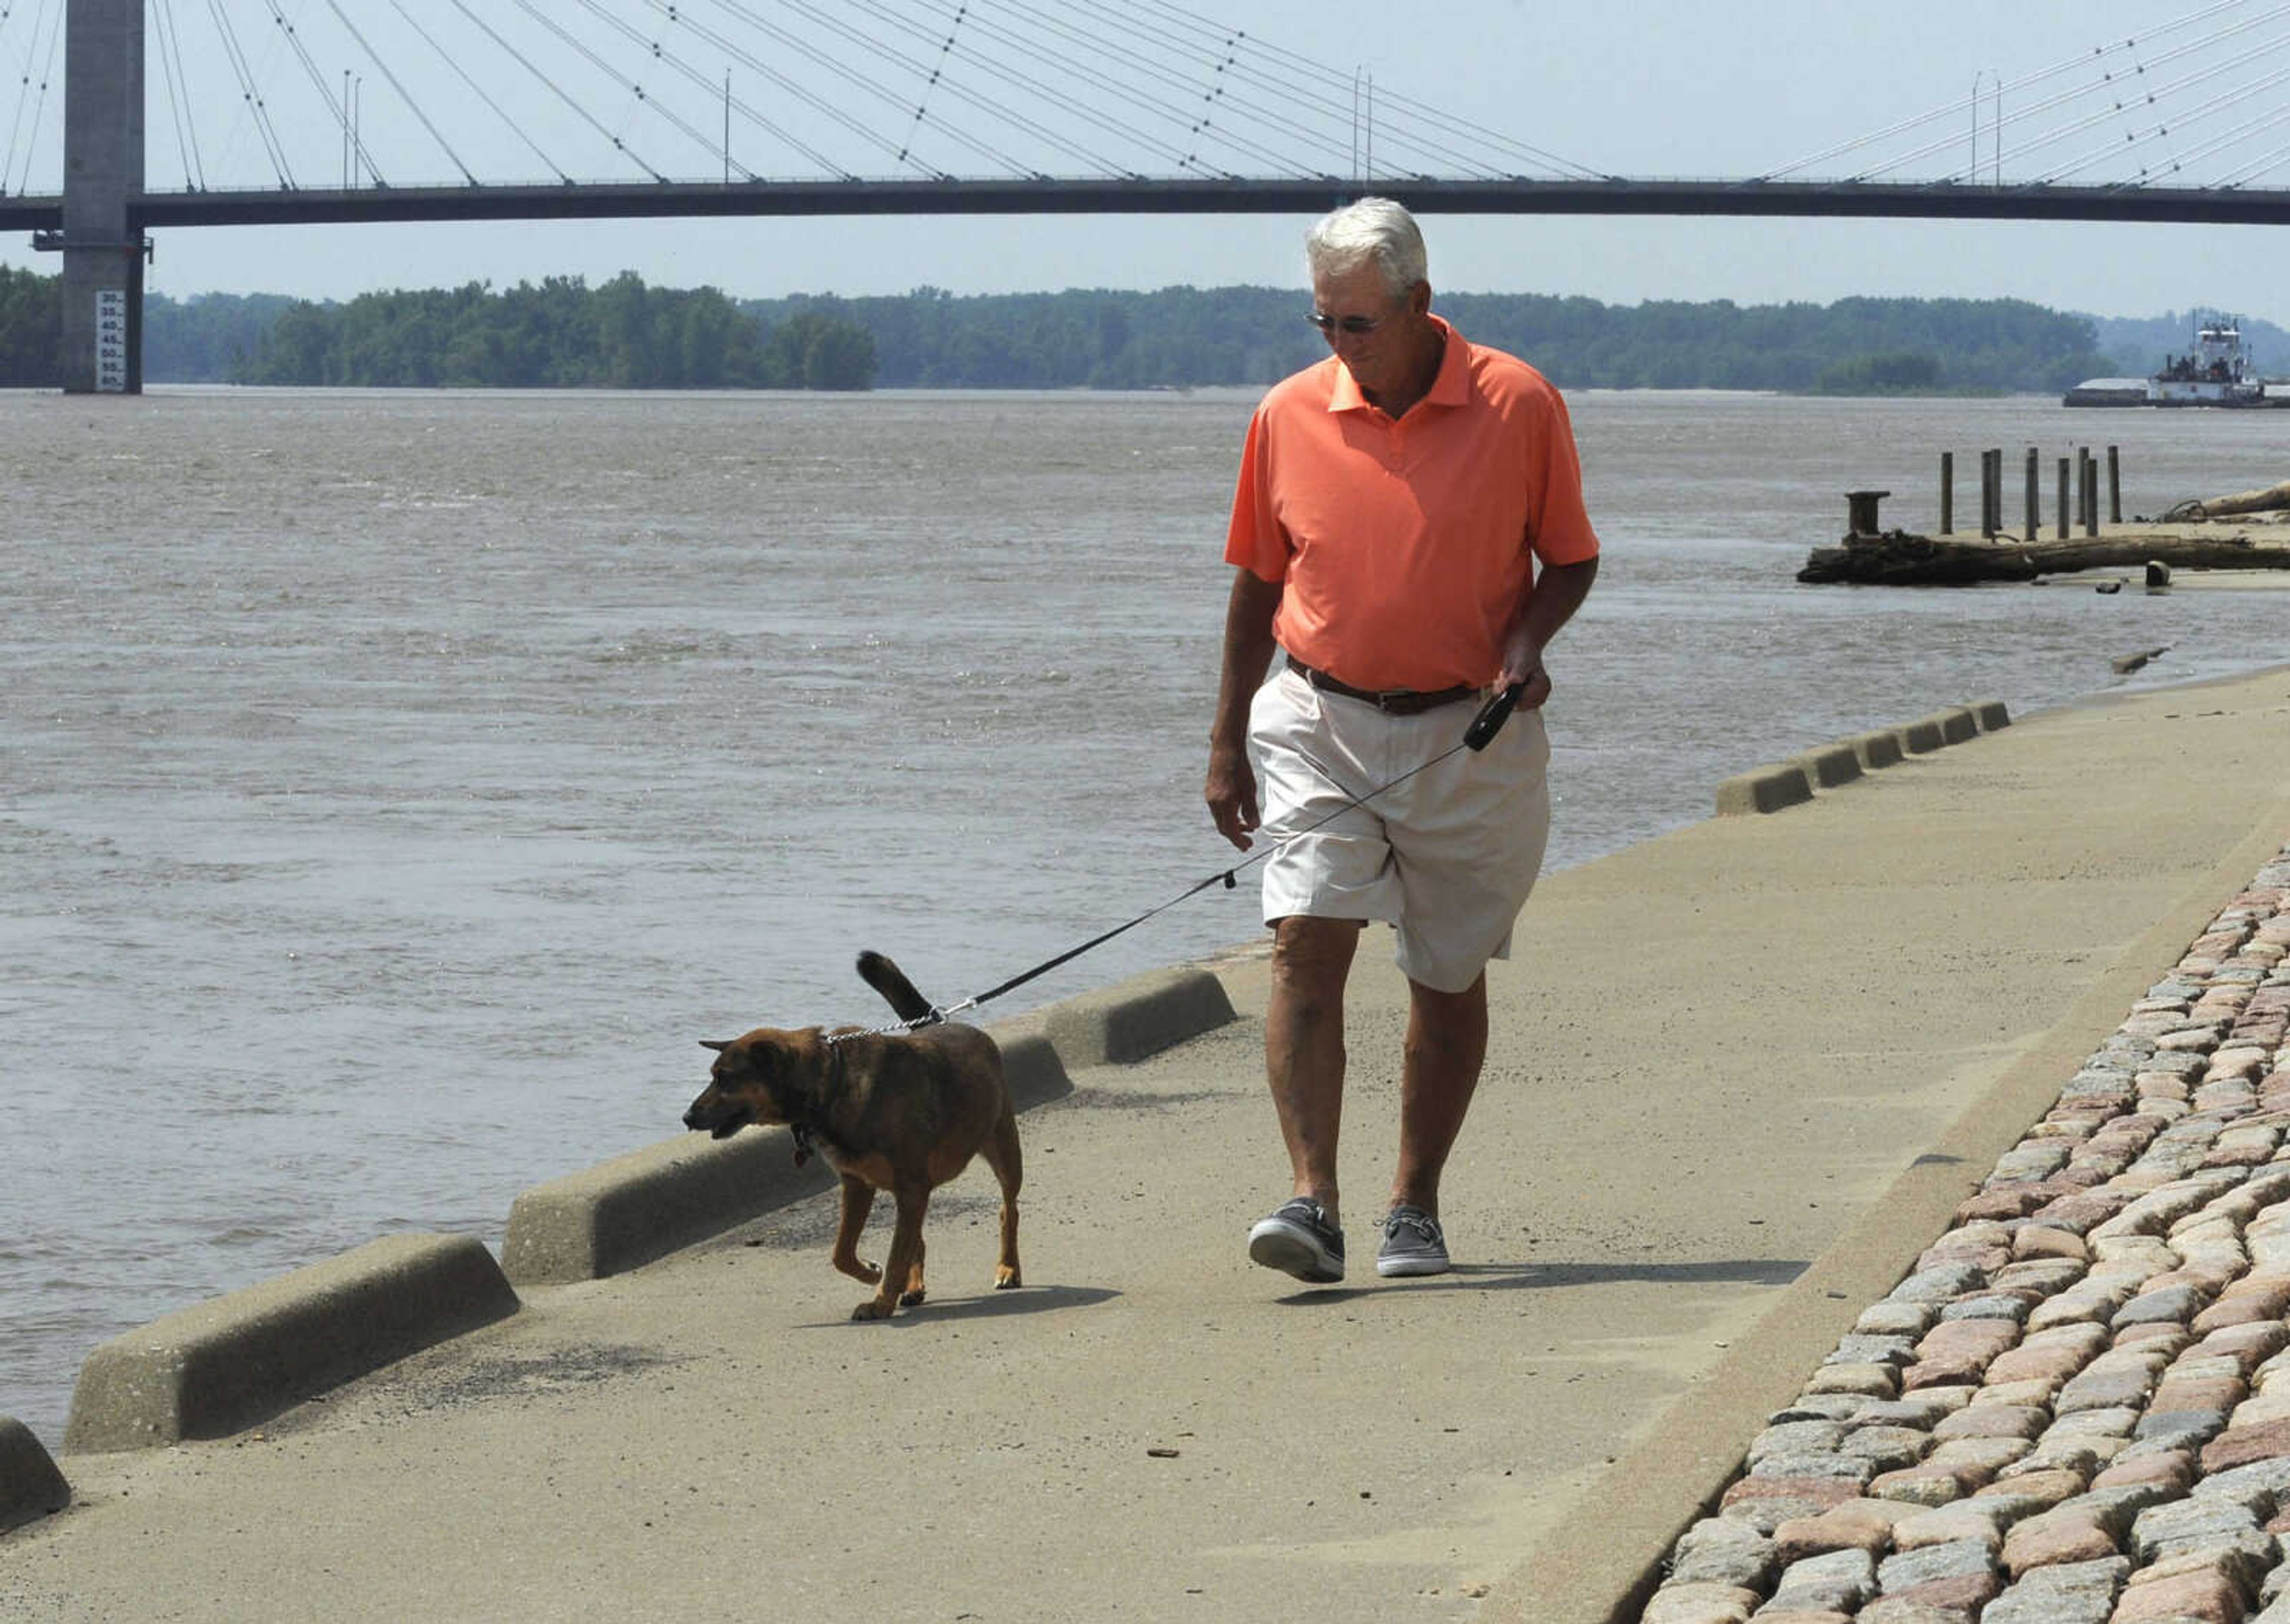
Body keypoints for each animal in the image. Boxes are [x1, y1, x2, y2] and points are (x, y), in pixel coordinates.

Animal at [677, 948, 1021, 1319]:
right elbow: (842, 1252)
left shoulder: (911, 1187)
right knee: (916, 1238)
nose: (686, 1117)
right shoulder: (858, 1184)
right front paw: (871, 1274)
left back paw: (1008, 1269)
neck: (832, 1083)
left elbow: (896, 1254)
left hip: (1004, 1149)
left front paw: (880, 1302)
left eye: (725, 1078)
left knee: (1008, 1210)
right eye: (714, 1076)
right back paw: (914, 1287)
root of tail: (946, 1023)